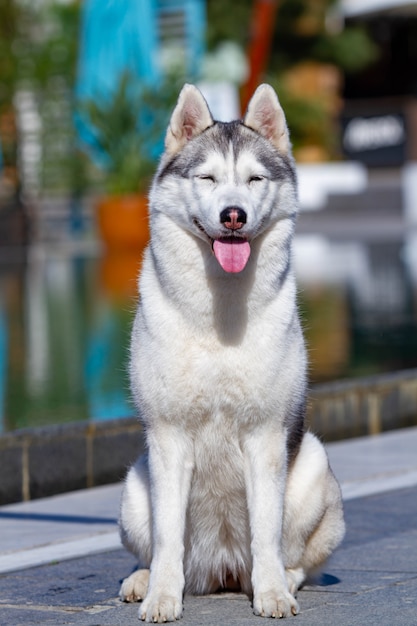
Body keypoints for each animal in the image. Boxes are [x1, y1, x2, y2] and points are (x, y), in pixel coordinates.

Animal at [118, 83, 344, 620]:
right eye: (208, 177)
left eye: (254, 178)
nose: (233, 214)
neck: (219, 313)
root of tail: (220, 572)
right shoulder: (169, 437)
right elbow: (168, 537)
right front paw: (162, 595)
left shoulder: (264, 436)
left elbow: (266, 534)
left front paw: (272, 594)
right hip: (135, 489)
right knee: (157, 548)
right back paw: (143, 578)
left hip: (315, 469)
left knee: (295, 558)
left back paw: (279, 579)